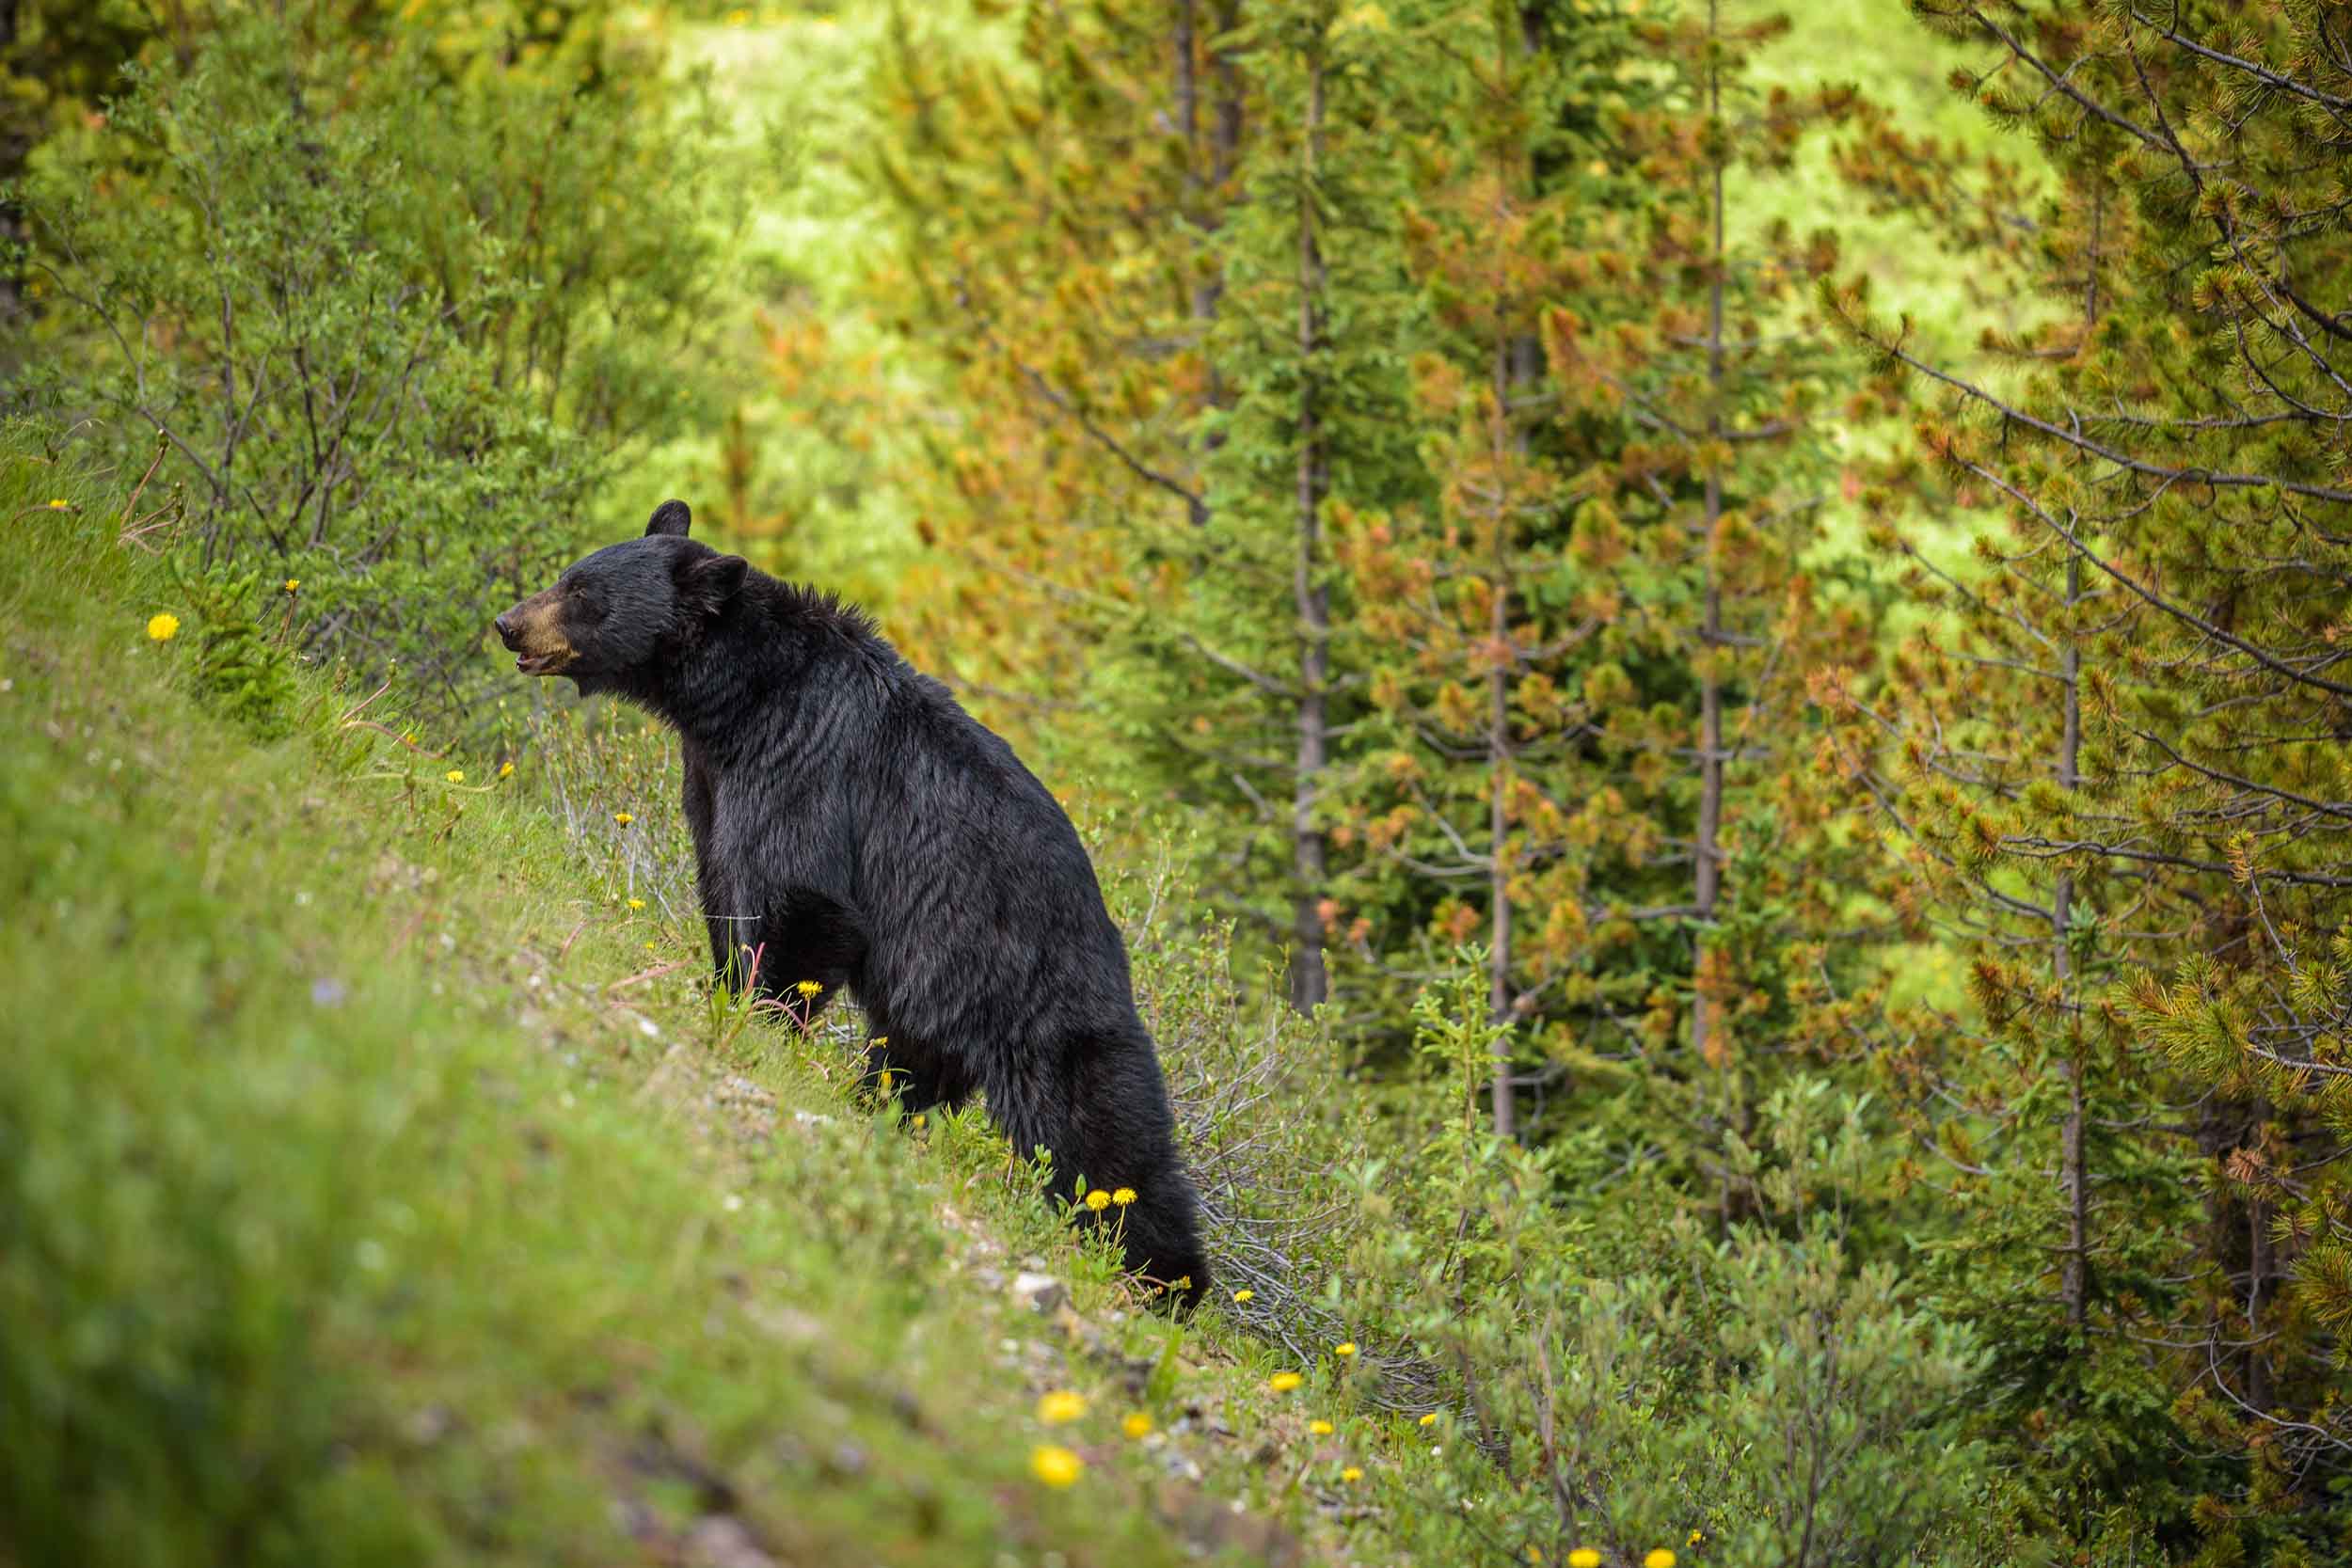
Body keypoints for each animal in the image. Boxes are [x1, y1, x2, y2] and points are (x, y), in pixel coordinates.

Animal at [495, 500, 1209, 1306]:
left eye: (585, 592)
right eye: (570, 574)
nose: (509, 623)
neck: (737, 700)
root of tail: (1116, 950)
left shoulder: (803, 764)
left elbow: (803, 900)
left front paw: (757, 1022)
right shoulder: (712, 782)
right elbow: (723, 889)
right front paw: (721, 987)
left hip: (1044, 1006)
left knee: (1105, 1140)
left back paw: (1166, 1278)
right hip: (941, 990)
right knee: (909, 1063)